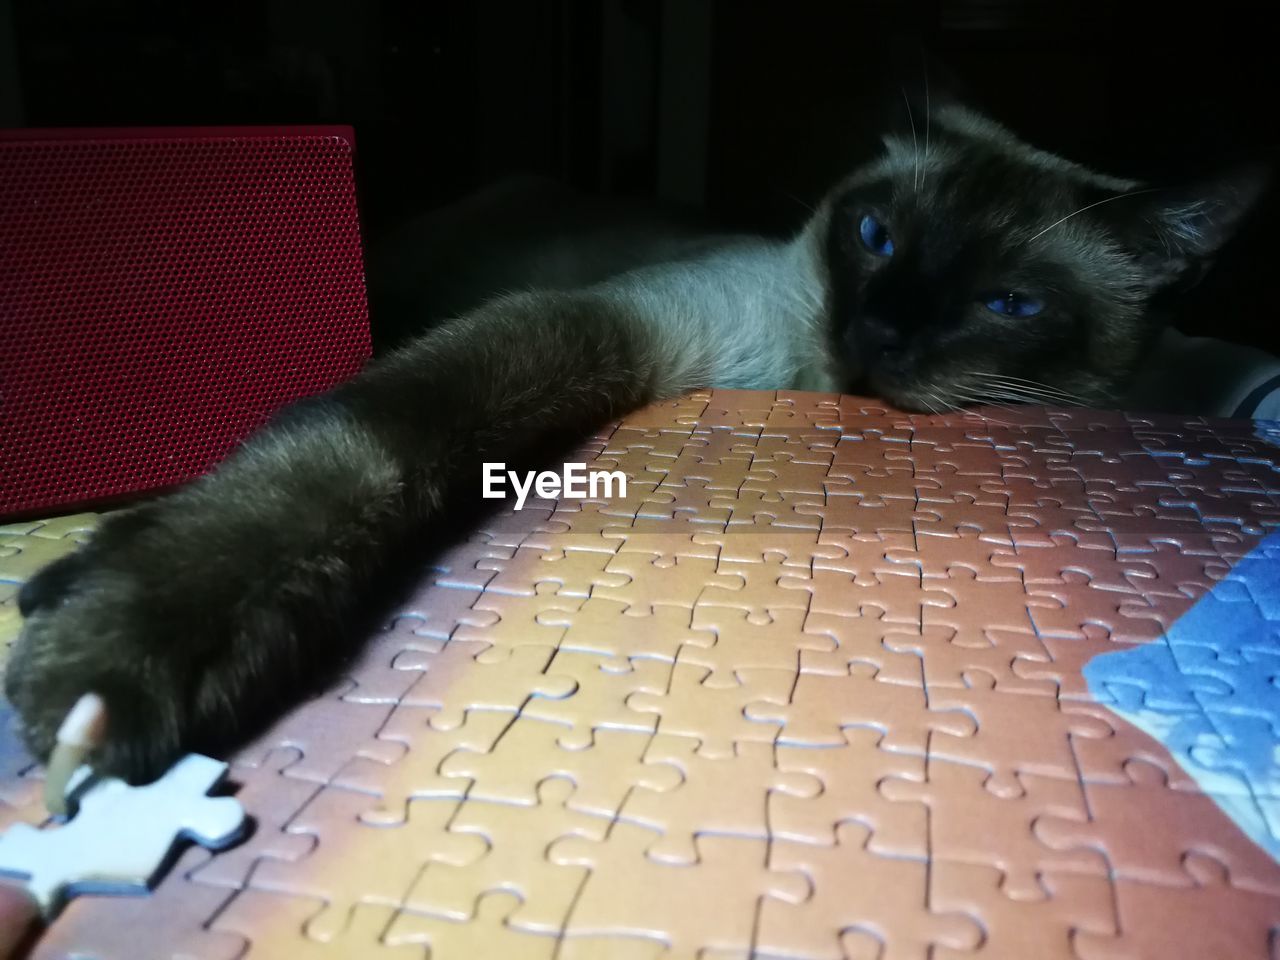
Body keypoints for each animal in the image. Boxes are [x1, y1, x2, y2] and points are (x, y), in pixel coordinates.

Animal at [5, 101, 1264, 783]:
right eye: (873, 236)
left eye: (1007, 303)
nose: (880, 330)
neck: (799, 378)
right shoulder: (608, 328)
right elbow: (365, 439)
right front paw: (108, 652)